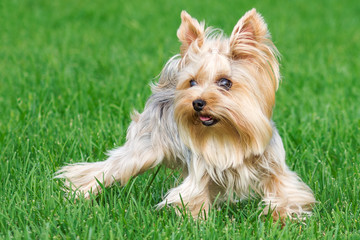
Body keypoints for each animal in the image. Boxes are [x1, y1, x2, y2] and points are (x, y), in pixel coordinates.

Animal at [55, 8, 316, 219]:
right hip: (144, 148)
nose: (197, 102)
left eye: (225, 82)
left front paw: (282, 218)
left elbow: (286, 192)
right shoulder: (200, 170)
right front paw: (198, 224)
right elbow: (192, 197)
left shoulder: (272, 165)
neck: (229, 133)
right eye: (192, 82)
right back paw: (76, 193)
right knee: (106, 169)